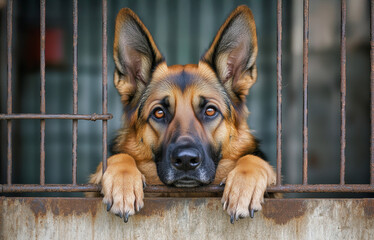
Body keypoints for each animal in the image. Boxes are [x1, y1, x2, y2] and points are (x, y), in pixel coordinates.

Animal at [90, 5, 278, 223]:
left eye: (210, 110)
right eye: (159, 113)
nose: (186, 160)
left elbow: (254, 160)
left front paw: (243, 186)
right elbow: (118, 157)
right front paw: (122, 181)